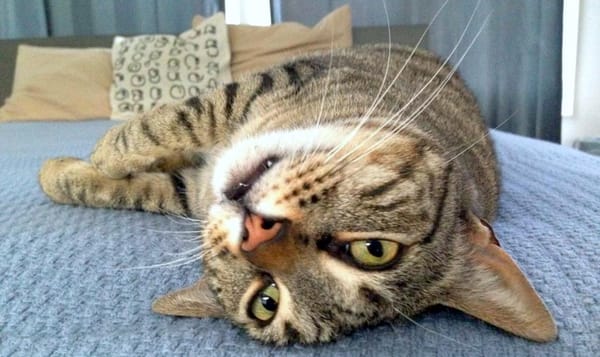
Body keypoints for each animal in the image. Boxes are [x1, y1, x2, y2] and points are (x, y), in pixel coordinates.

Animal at [39, 43, 556, 344]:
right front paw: (92, 158)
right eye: (374, 250)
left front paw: (74, 167)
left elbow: (146, 179)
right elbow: (168, 123)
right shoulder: (267, 86)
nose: (255, 231)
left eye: (266, 300)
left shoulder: (192, 189)